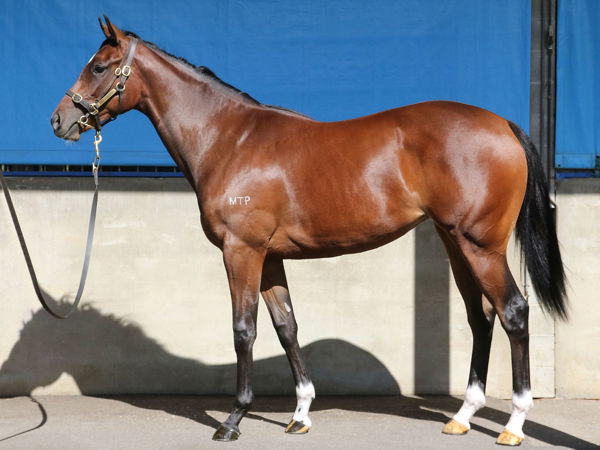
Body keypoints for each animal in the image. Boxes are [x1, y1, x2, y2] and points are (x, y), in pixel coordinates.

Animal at [51, 16, 568, 446]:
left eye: (98, 67)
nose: (59, 120)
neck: (229, 140)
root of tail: (504, 124)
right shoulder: (270, 257)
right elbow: (286, 327)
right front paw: (300, 414)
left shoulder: (241, 251)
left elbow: (244, 330)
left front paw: (233, 419)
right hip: (453, 242)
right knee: (480, 318)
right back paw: (462, 417)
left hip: (480, 246)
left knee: (513, 312)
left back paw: (514, 424)